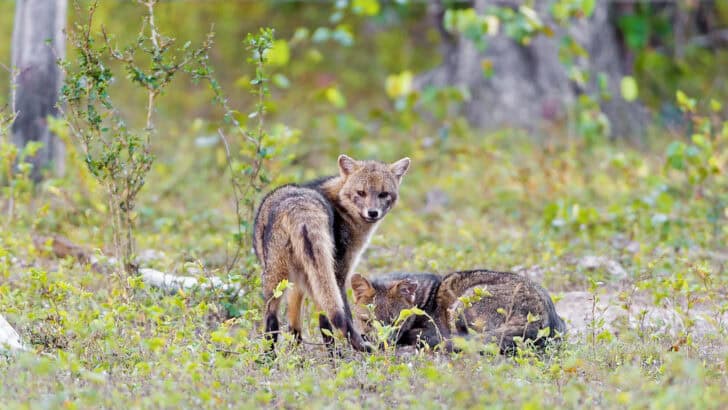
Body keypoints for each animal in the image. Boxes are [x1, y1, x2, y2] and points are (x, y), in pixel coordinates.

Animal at [253, 154, 411, 354]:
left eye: (383, 194)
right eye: (361, 193)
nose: (373, 213)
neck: (340, 205)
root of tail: (298, 205)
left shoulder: (299, 282)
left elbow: (295, 324)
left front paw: (295, 353)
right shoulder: (340, 274)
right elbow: (339, 317)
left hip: (279, 279)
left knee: (272, 321)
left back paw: (269, 357)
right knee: (334, 318)